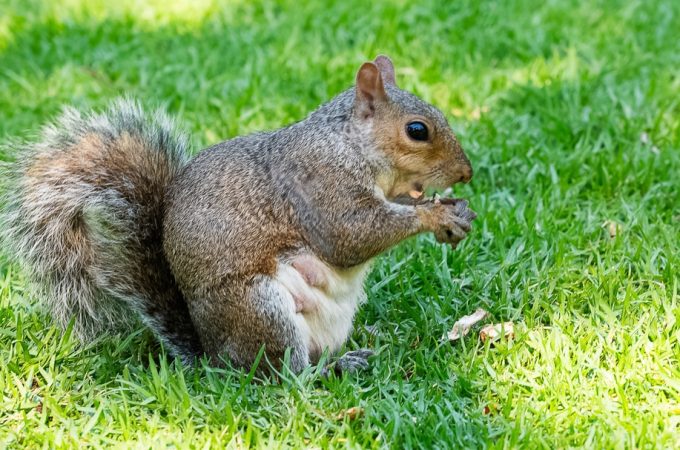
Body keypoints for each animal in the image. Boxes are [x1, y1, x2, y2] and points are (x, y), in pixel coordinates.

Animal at [0, 55, 476, 374]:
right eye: (417, 130)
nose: (467, 173)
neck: (348, 143)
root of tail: (213, 355)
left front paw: (450, 209)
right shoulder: (320, 187)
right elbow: (352, 237)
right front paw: (435, 216)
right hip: (260, 309)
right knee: (285, 375)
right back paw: (334, 369)